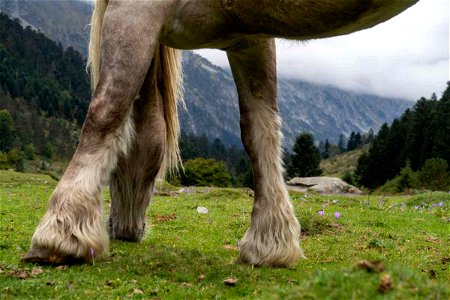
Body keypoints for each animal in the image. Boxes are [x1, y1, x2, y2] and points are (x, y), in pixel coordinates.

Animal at [23, 0, 418, 268]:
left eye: (117, 163)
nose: (123, 229)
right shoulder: (252, 38)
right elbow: (260, 131)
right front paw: (271, 241)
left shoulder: (134, 11)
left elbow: (106, 110)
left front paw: (60, 234)